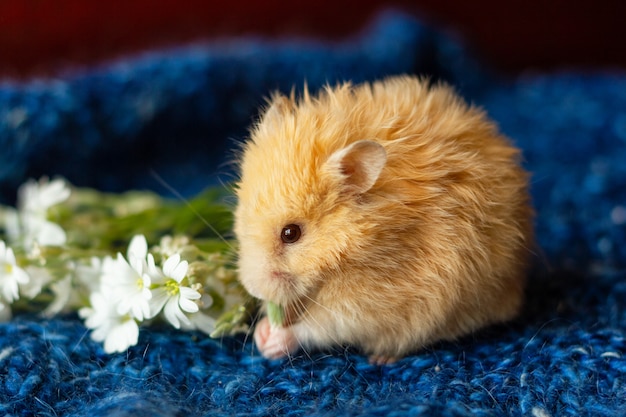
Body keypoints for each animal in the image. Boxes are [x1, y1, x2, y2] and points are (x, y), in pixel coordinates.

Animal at [234, 75, 532, 364]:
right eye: (244, 219)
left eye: (290, 233)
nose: (255, 290)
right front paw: (263, 330)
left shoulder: (370, 302)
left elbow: (320, 326)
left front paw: (272, 340)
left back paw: (382, 359)